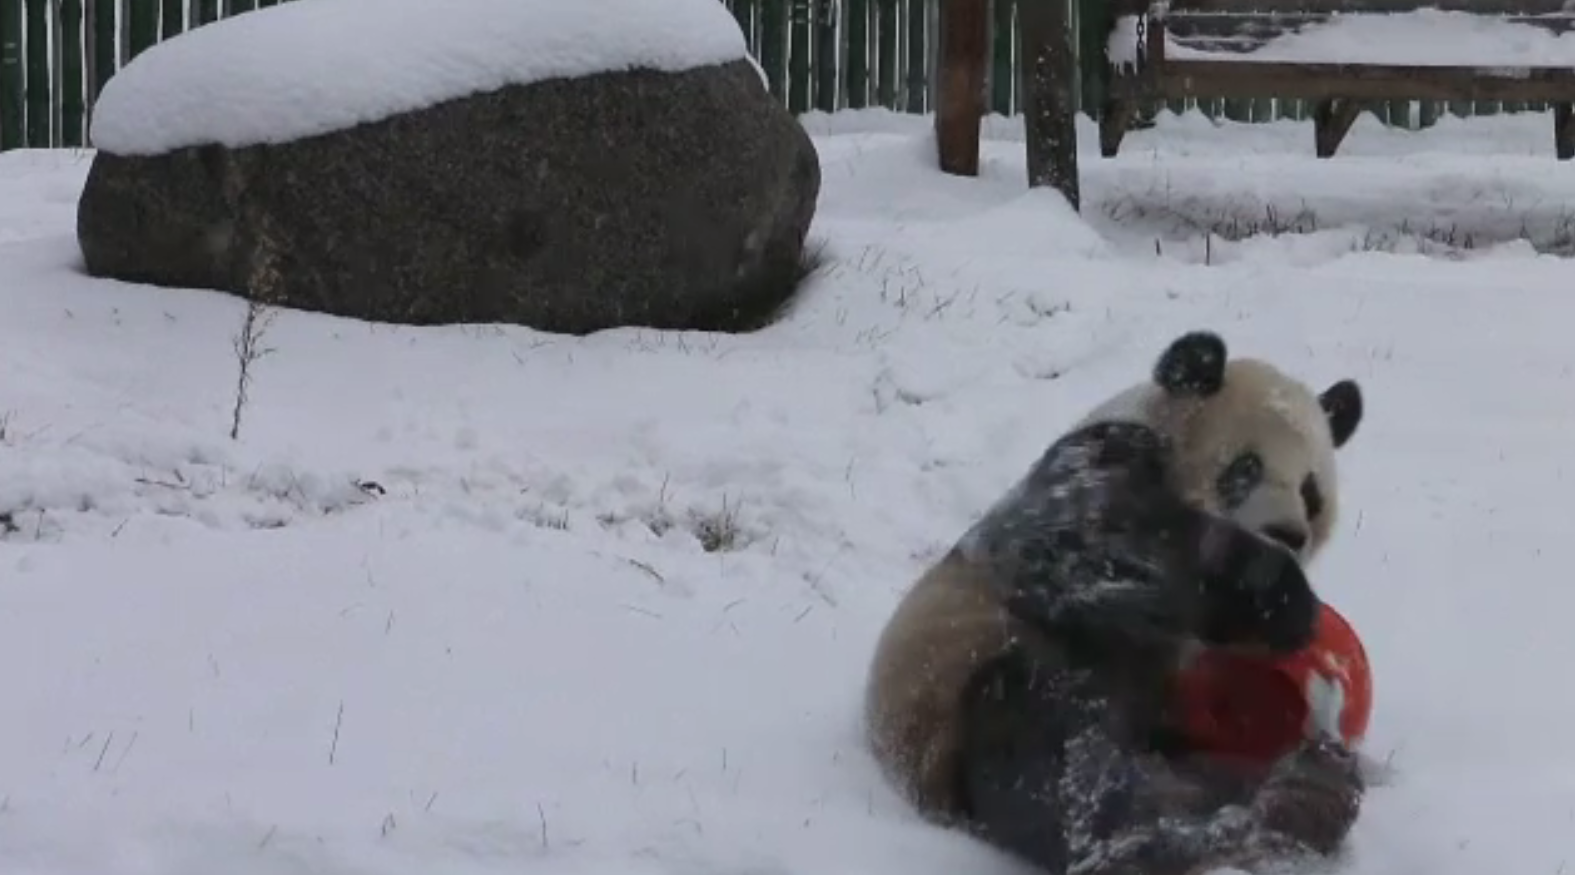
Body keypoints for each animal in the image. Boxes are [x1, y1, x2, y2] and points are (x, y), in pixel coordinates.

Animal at [862, 330, 1367, 875]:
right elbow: (1080, 534)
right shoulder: (1098, 453)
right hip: (961, 690)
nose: (1287, 533)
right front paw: (1281, 597)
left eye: (1312, 493)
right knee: (1060, 760)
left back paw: (1311, 792)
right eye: (1246, 468)